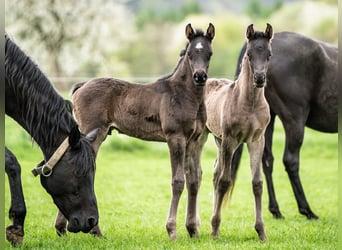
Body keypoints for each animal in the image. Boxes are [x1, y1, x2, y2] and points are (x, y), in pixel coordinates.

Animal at [66, 23, 214, 240]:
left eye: (209, 54)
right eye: (189, 54)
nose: (200, 76)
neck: (184, 95)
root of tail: (81, 85)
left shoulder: (194, 141)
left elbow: (193, 180)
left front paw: (193, 230)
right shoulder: (175, 137)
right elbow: (178, 181)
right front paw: (171, 230)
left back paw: (63, 228)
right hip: (92, 134)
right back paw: (93, 230)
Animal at [199, 23, 274, 240]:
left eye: (269, 53)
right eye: (249, 53)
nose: (259, 78)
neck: (249, 104)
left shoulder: (256, 140)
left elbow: (257, 183)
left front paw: (261, 232)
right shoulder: (230, 139)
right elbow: (225, 181)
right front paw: (215, 230)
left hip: (218, 139)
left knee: (215, 173)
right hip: (207, 137)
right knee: (213, 176)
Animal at [232, 30, 336, 219]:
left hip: (268, 120)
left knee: (266, 160)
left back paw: (276, 210)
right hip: (294, 120)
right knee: (290, 161)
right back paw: (307, 210)